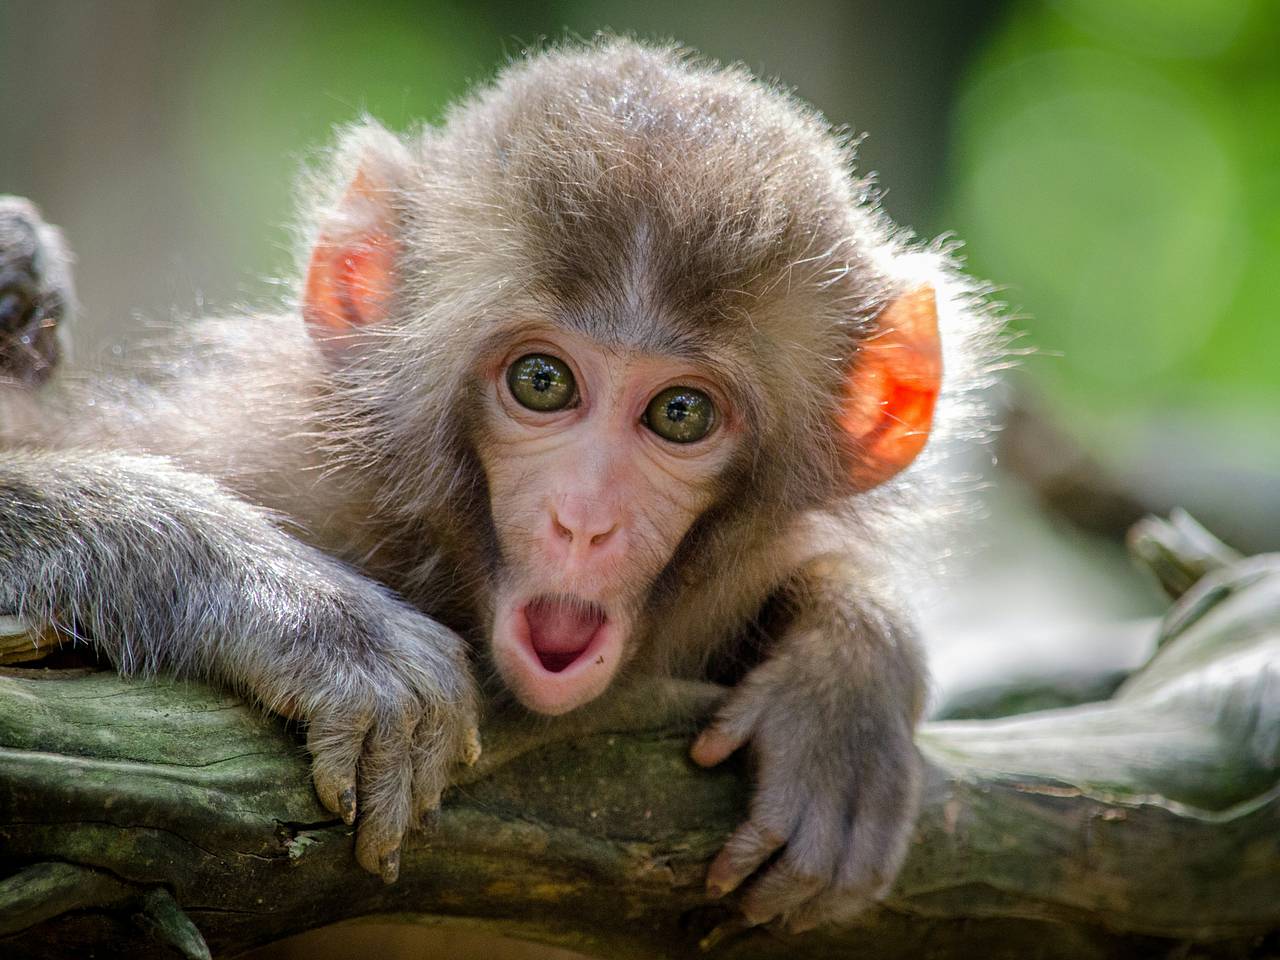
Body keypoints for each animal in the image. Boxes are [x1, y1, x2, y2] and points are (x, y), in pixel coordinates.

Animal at [0, 43, 993, 931]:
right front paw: (310, 616)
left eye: (680, 414)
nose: (584, 519)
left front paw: (847, 681)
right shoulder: (263, 453)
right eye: (542, 382)